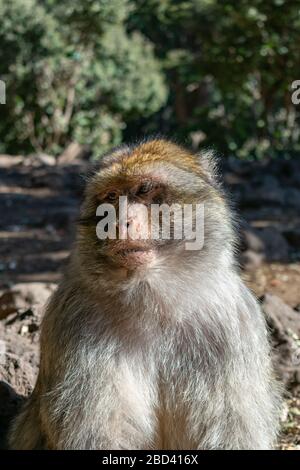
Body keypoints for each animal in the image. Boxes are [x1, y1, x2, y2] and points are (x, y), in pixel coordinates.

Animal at [8, 139, 282, 448]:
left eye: (144, 190)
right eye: (111, 196)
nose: (117, 222)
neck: (153, 300)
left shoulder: (233, 323)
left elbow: (231, 431)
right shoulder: (73, 319)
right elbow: (97, 434)